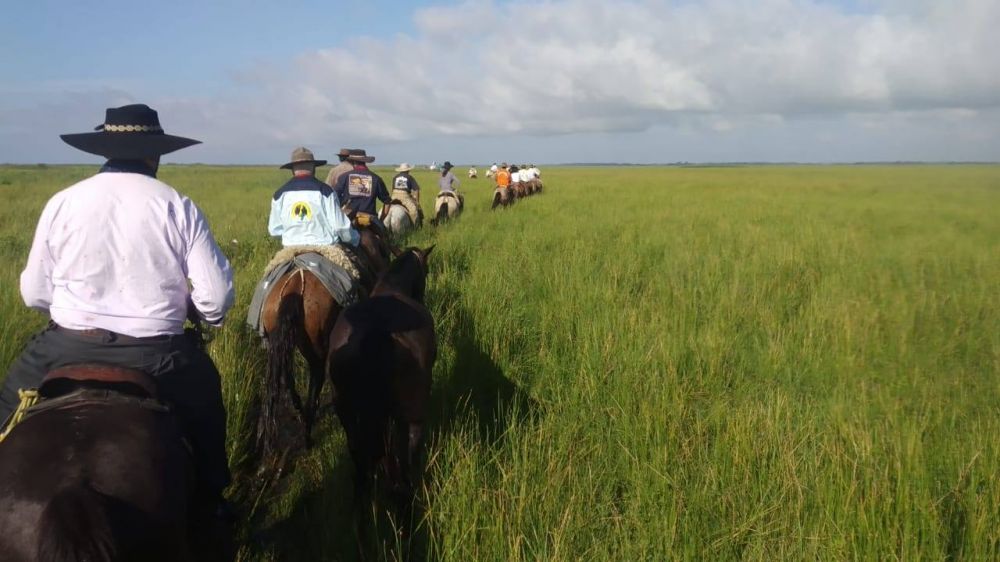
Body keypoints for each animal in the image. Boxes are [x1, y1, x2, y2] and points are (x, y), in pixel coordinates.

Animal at [256, 225, 392, 458]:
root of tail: (294, 285)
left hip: (282, 342)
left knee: (287, 379)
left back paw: (300, 414)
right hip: (317, 349)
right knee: (315, 384)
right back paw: (308, 437)